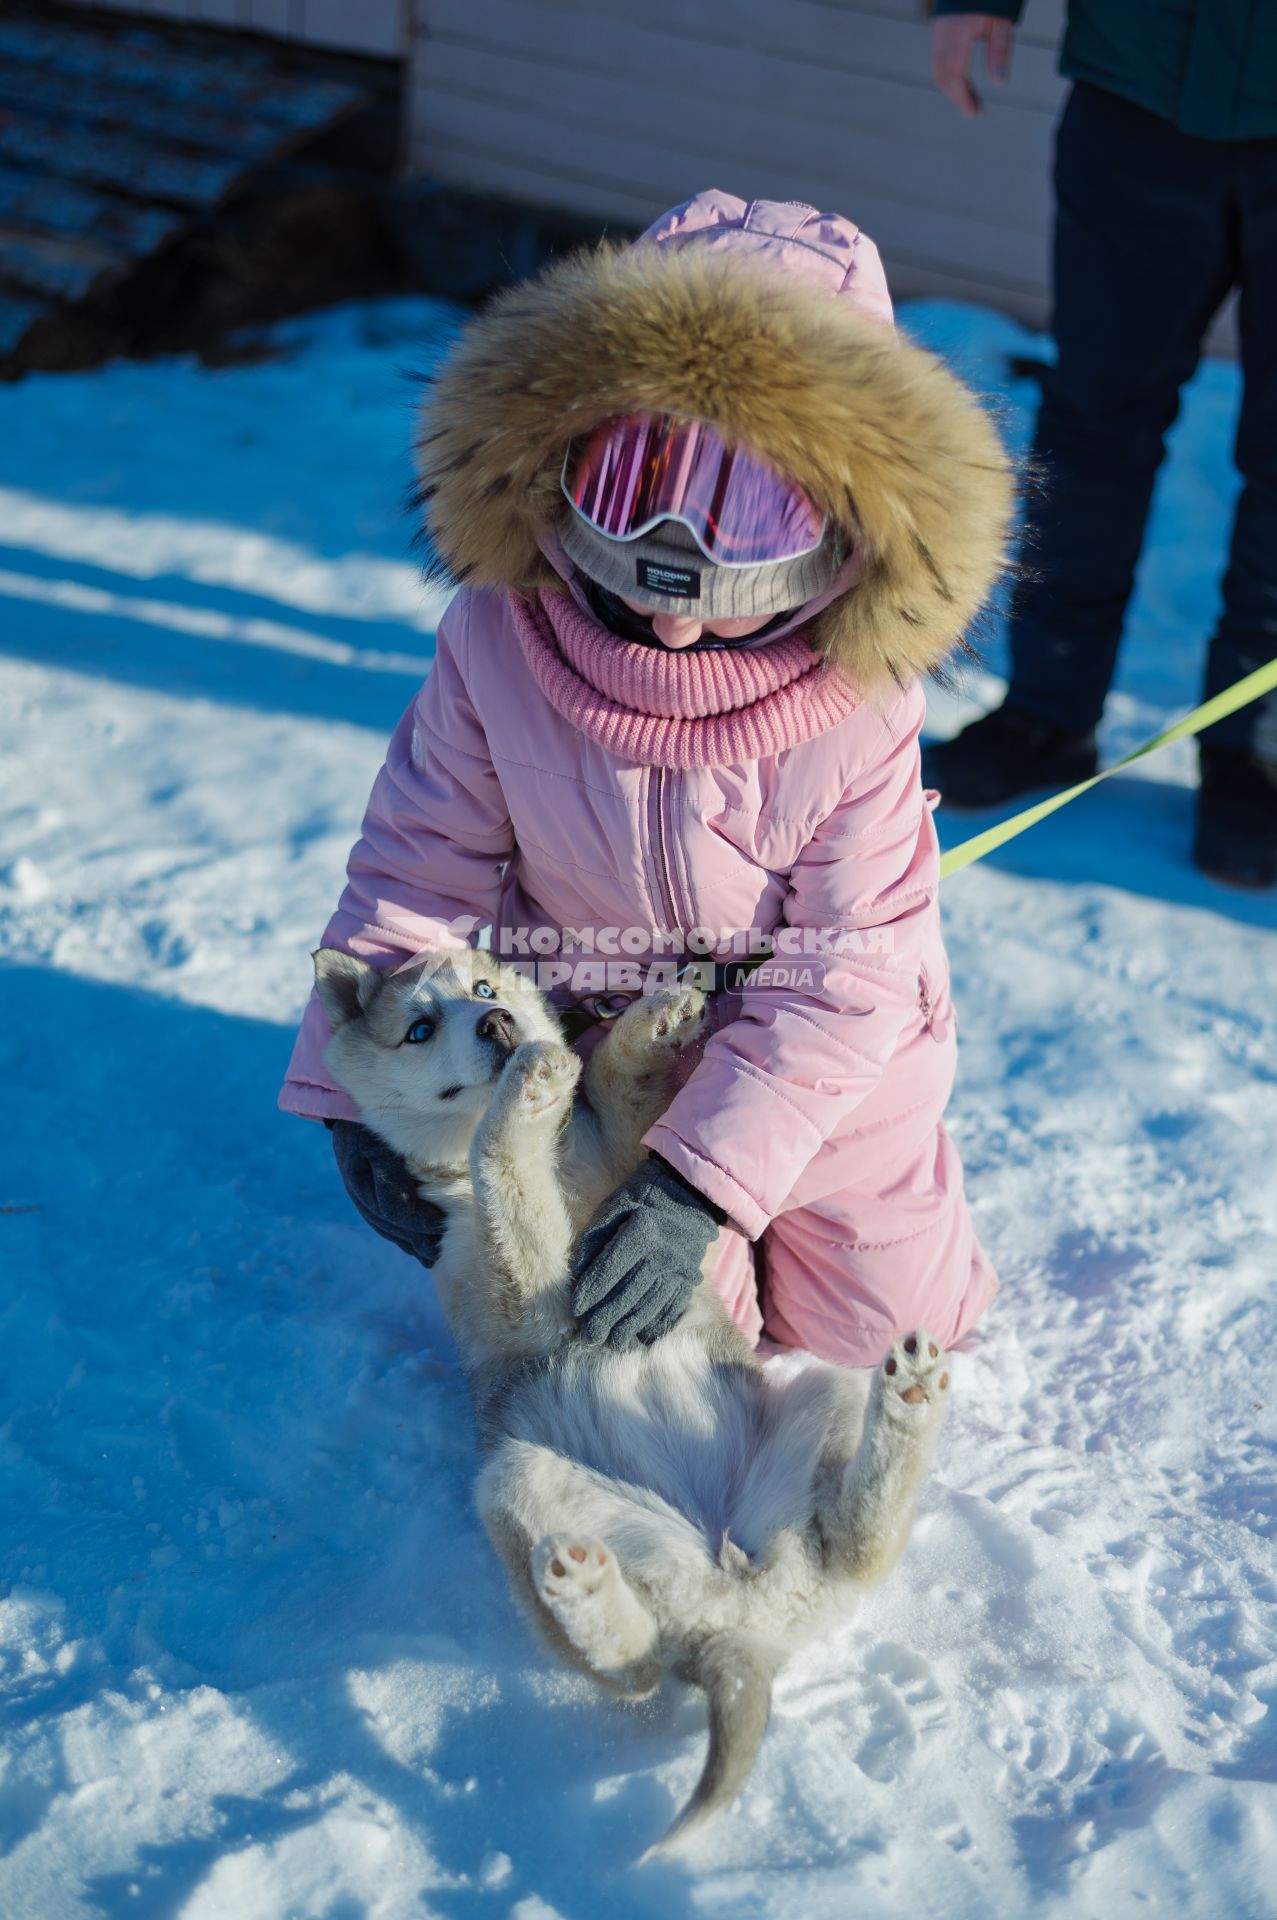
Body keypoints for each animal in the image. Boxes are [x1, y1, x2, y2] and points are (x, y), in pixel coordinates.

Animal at [311, 948, 944, 1858]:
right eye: (419, 1028)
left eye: (483, 990)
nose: (500, 1027)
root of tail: (745, 1623)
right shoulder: (519, 1282)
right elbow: (504, 1177)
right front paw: (532, 1089)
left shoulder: (617, 1159)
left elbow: (626, 1109)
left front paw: (656, 1017)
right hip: (514, 1486)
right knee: (637, 1671)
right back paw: (580, 1585)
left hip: (817, 1398)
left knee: (856, 1548)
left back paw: (908, 1397)